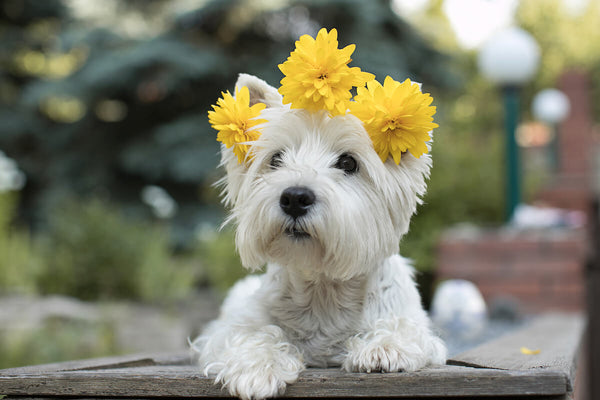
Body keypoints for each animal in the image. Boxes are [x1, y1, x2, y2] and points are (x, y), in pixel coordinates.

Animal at [191, 72, 446, 400]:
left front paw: (384, 349)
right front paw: (256, 368)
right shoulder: (231, 330)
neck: (322, 288)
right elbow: (253, 335)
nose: (295, 198)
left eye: (348, 162)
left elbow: (403, 330)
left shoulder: (414, 324)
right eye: (276, 159)